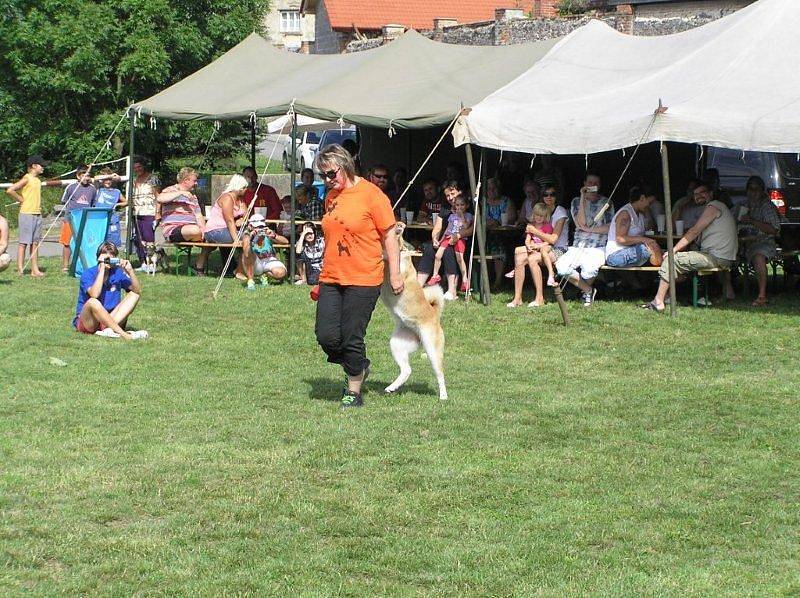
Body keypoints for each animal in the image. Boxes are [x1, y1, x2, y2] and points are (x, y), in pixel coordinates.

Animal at [382, 225, 450, 404]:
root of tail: (435, 314)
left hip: (432, 350)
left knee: (440, 375)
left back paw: (443, 396)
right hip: (397, 344)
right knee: (407, 370)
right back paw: (392, 387)